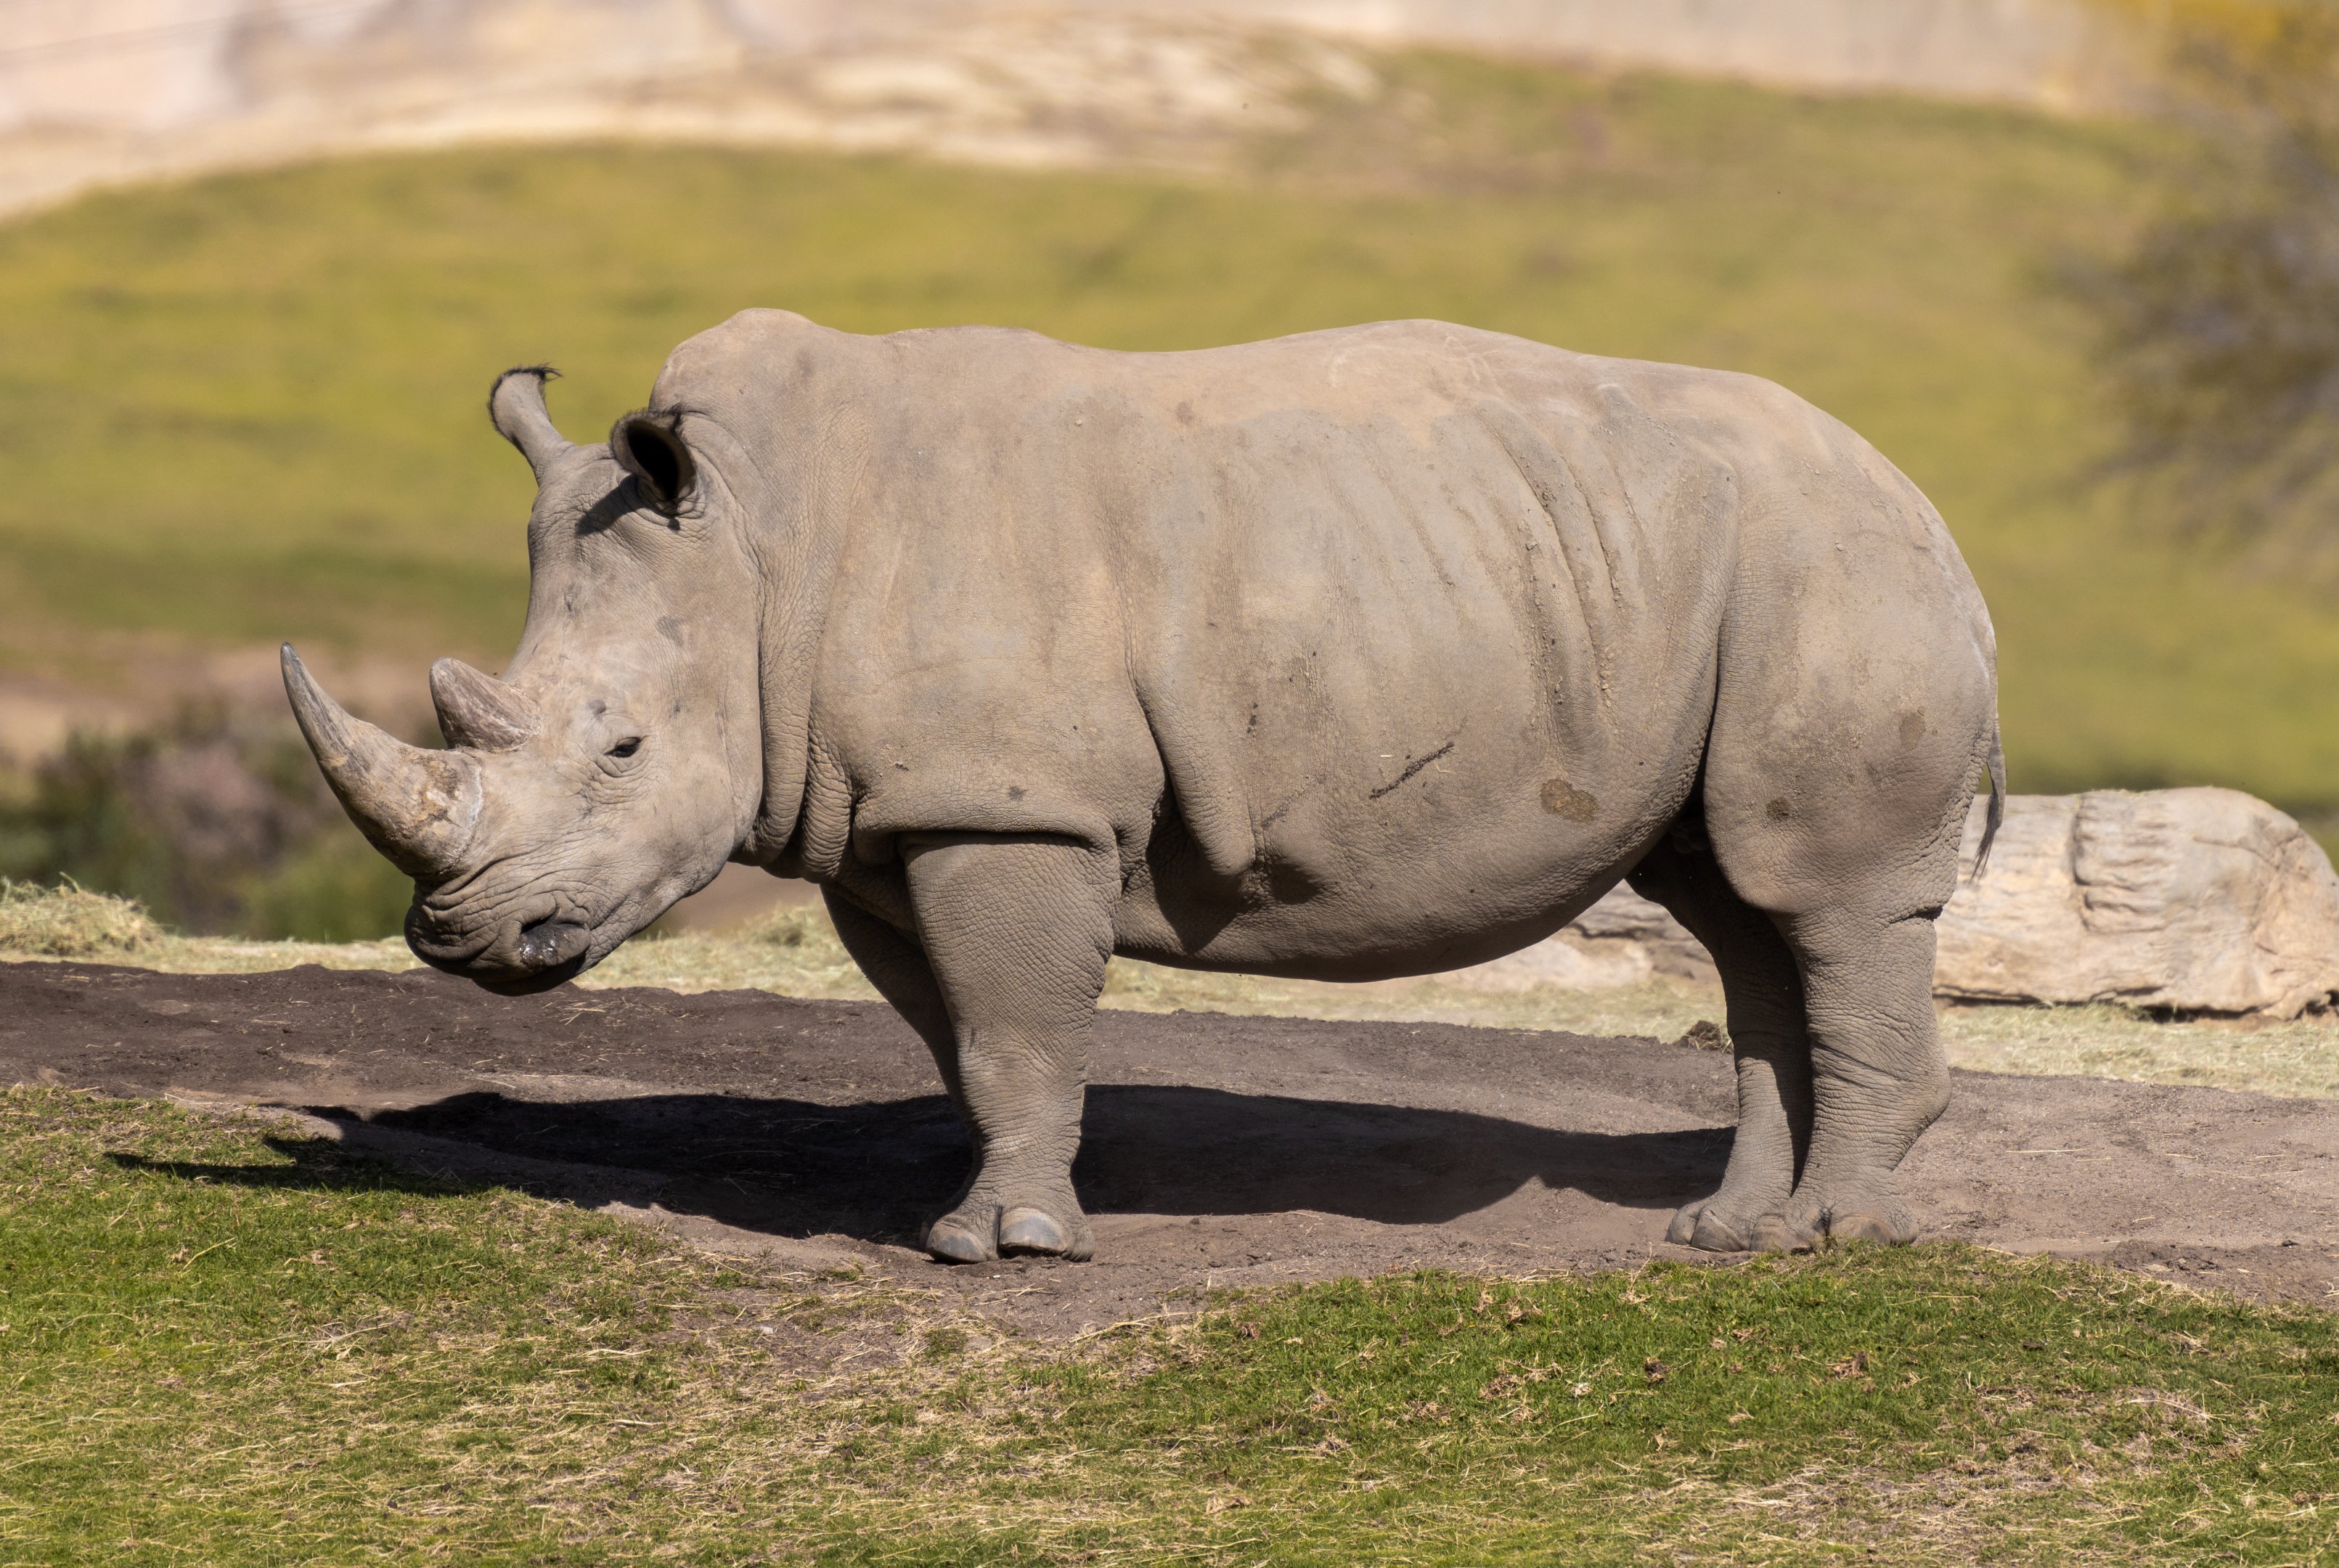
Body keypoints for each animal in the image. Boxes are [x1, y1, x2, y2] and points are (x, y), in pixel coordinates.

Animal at [284, 312, 2003, 1263]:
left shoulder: (1011, 802)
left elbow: (1016, 1024)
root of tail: (1922, 499)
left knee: (1821, 895)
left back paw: (1841, 1244)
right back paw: (1726, 1239)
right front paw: (999, 1208)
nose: (462, 941)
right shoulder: (898, 818)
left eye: (622, 749)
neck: (763, 548)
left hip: (1827, 563)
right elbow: (973, 1040)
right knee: (1737, 904)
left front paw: (1008, 1248)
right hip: (1701, 571)